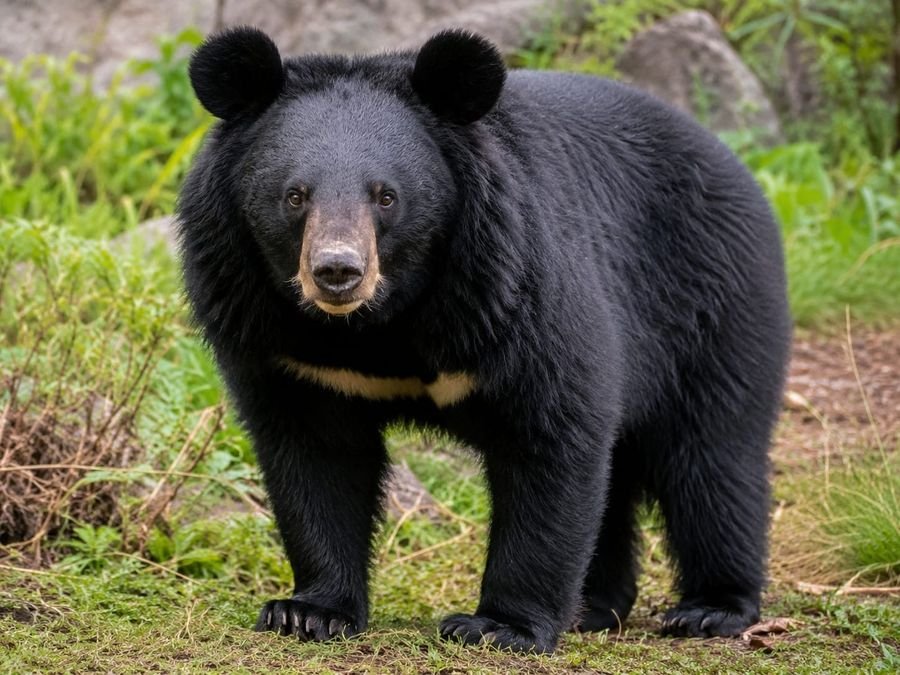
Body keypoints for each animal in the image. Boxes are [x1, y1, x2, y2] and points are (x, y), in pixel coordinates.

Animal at [177, 26, 791, 654]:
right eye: (295, 195)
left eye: (386, 196)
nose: (337, 271)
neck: (375, 322)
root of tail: (732, 162)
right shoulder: (282, 341)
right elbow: (316, 457)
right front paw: (307, 611)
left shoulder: (511, 286)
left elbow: (550, 435)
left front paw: (499, 626)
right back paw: (594, 606)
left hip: (710, 302)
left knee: (711, 455)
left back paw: (710, 609)